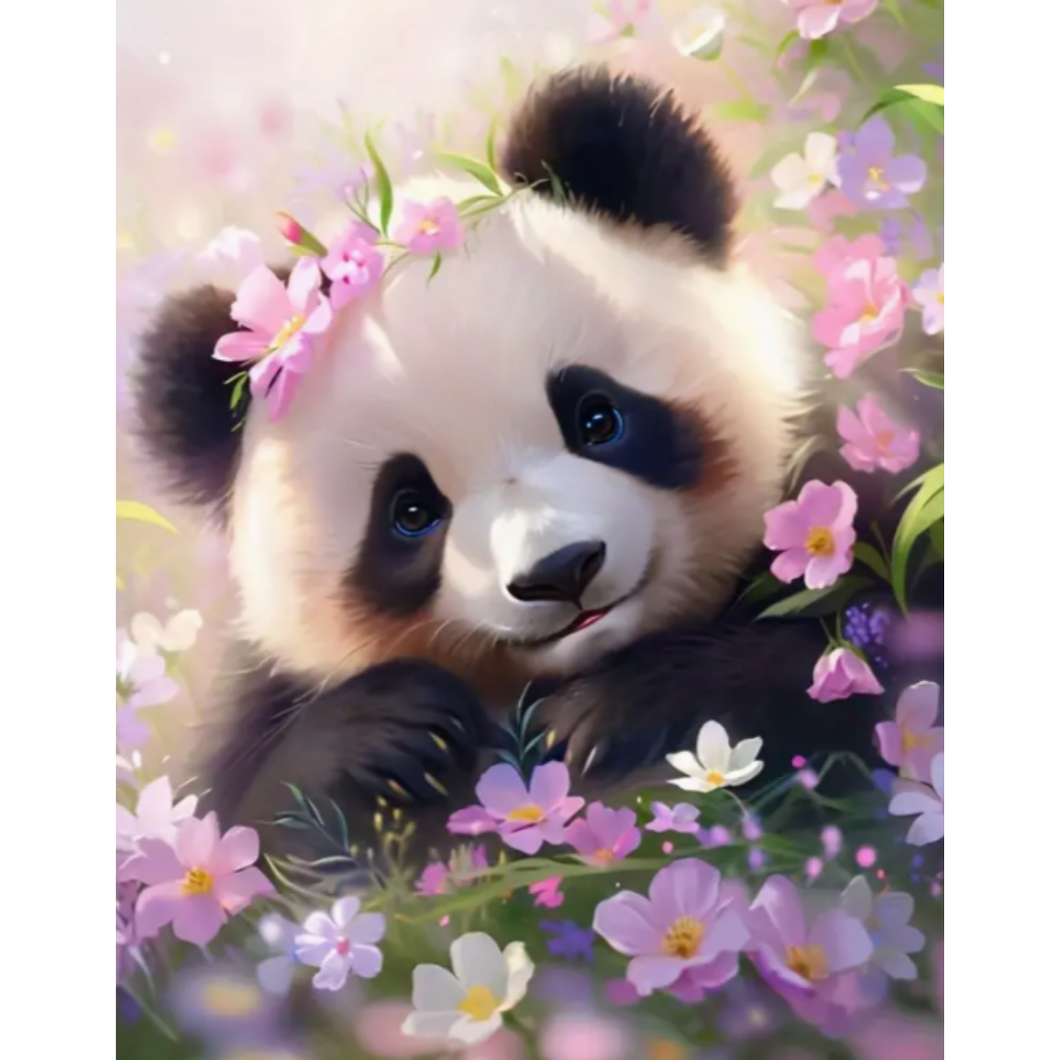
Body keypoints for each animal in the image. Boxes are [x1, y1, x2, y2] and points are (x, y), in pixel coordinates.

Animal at [132, 65, 942, 868]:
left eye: (597, 418)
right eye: (410, 511)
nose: (563, 569)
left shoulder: (853, 491)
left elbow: (878, 668)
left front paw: (616, 712)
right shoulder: (265, 706)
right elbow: (245, 837)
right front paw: (390, 730)